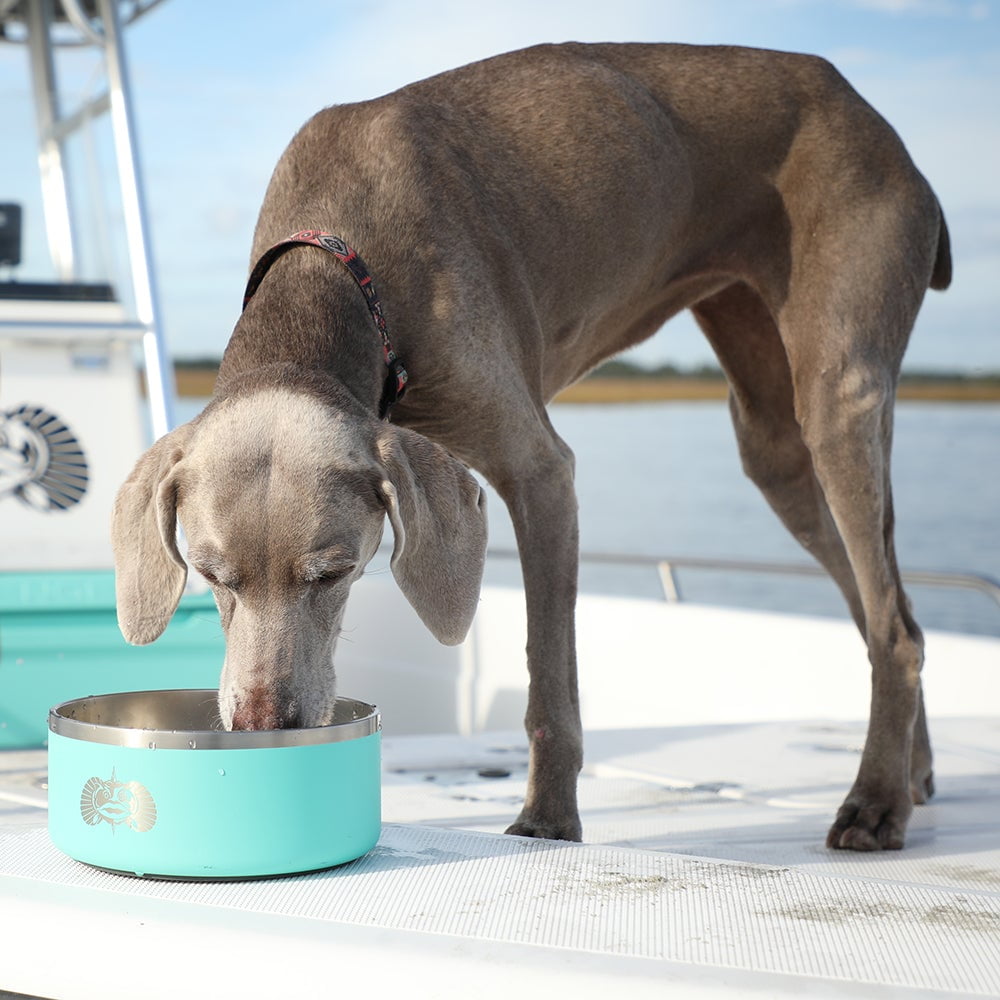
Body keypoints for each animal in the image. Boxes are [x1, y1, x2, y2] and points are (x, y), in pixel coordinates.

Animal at [113, 41, 948, 852]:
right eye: (209, 575)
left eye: (335, 573)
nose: (264, 727)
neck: (336, 264)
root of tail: (873, 120)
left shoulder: (543, 475)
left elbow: (548, 679)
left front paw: (547, 823)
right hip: (774, 435)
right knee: (887, 607)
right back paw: (911, 773)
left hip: (839, 385)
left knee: (893, 625)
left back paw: (874, 803)